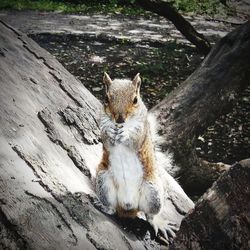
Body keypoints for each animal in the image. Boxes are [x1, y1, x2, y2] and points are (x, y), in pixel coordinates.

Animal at [94, 72, 194, 240]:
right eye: (106, 99)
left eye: (135, 100)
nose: (119, 119)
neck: (120, 126)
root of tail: (128, 207)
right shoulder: (103, 123)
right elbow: (105, 137)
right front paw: (110, 132)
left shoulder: (142, 130)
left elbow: (135, 138)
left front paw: (126, 134)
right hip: (103, 180)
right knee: (112, 208)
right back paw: (104, 206)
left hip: (153, 193)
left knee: (150, 215)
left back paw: (158, 222)